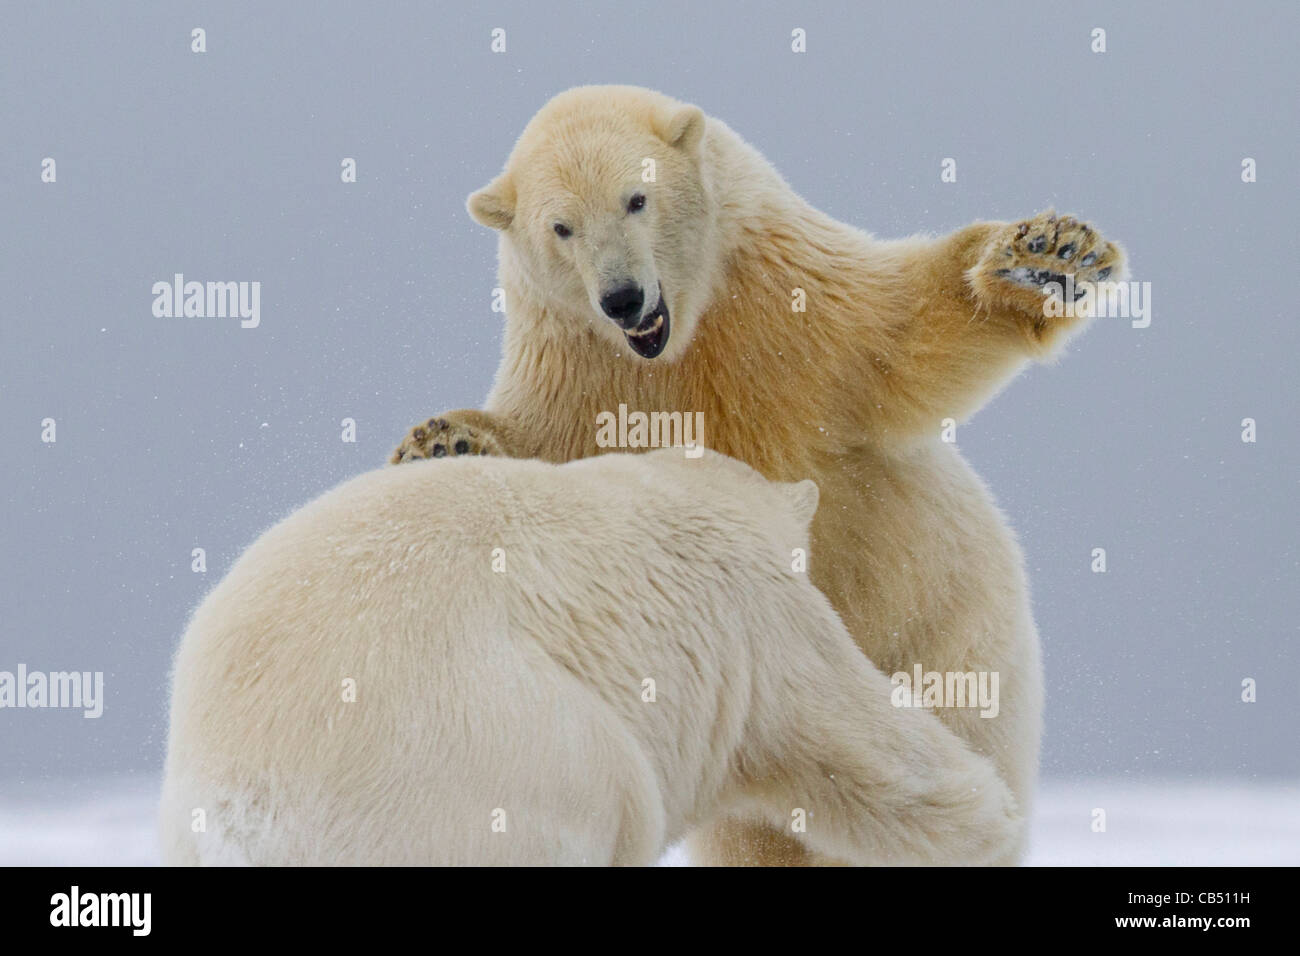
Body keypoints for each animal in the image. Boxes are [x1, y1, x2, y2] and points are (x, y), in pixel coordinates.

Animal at [387, 89, 1128, 868]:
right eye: (561, 226)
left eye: (636, 198)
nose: (622, 298)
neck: (678, 344)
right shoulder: (579, 369)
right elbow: (543, 456)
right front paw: (446, 443)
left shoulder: (795, 306)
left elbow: (909, 326)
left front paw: (1051, 258)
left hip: (946, 631)